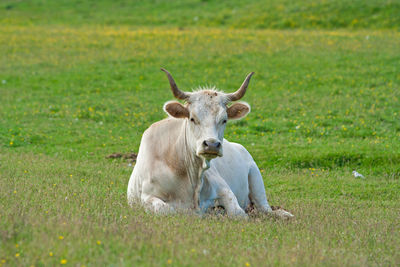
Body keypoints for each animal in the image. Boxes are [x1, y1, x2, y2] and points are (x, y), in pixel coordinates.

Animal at [128, 69, 294, 220]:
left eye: (224, 119)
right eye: (192, 118)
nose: (212, 145)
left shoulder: (224, 189)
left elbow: (238, 213)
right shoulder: (147, 197)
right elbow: (166, 210)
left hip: (256, 177)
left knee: (265, 209)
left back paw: (284, 214)